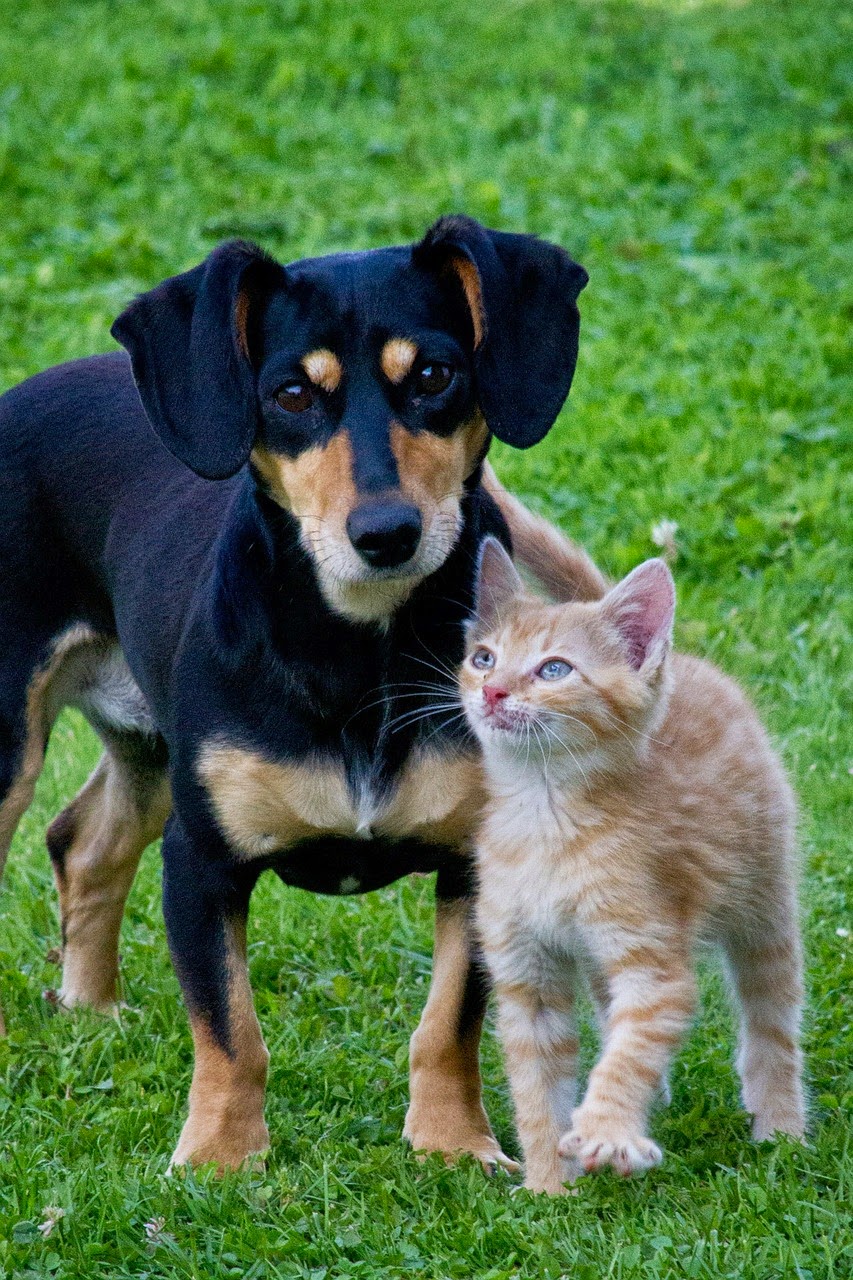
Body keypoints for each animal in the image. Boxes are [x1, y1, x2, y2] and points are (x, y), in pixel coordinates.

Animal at [0, 215, 588, 1170]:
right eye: (290, 394)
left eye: (434, 375)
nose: (386, 533)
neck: (359, 653)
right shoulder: (203, 862)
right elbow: (230, 1030)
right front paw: (220, 1159)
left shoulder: (476, 860)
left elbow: (450, 1020)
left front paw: (453, 1142)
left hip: (153, 748)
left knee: (84, 843)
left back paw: (91, 1012)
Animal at [458, 532, 806, 1194]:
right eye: (484, 658)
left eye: (555, 669)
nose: (492, 691)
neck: (542, 819)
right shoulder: (526, 977)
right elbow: (538, 1087)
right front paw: (549, 1188)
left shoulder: (653, 964)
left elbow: (630, 1050)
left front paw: (606, 1130)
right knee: (608, 1007)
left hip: (763, 901)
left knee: (772, 1019)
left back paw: (782, 1127)